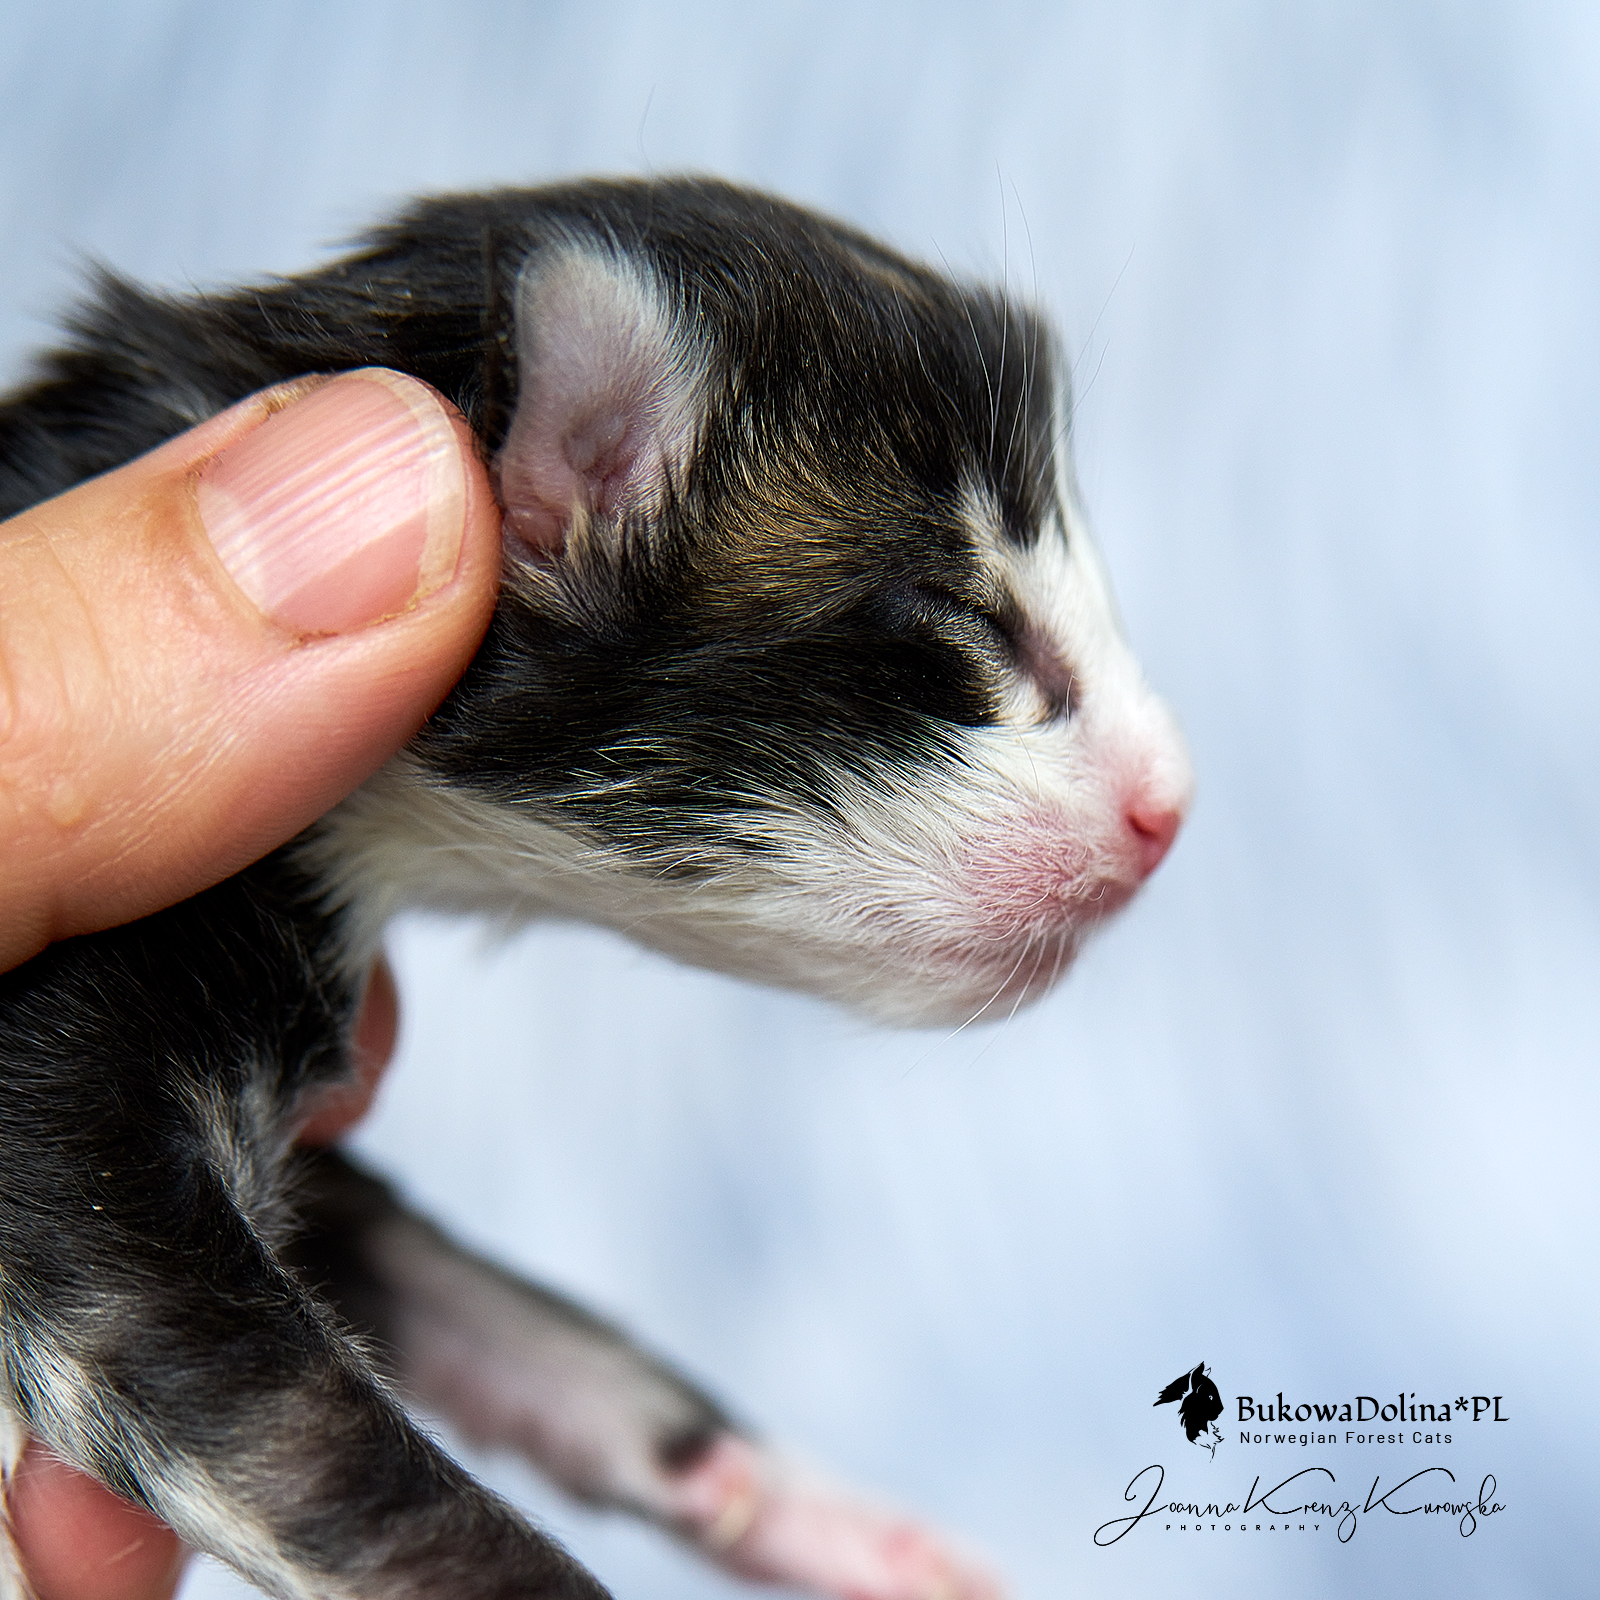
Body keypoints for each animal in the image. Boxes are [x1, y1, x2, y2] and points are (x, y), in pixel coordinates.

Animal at [0, 178, 1191, 1600]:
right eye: (963, 623)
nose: (1172, 806)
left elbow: (513, 1318)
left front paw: (816, 1515)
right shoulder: (69, 1158)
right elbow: (312, 1449)